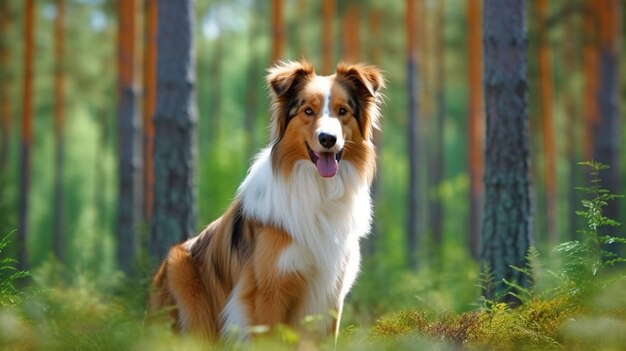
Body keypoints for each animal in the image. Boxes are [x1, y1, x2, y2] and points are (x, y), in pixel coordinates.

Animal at [151, 60, 382, 340]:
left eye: (342, 111)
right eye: (308, 111)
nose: (328, 139)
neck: (319, 189)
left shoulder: (331, 294)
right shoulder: (269, 291)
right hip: (180, 273)